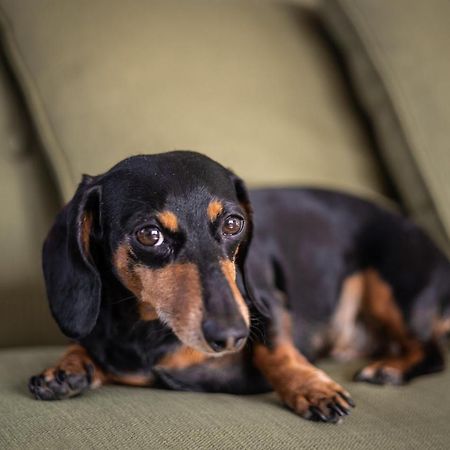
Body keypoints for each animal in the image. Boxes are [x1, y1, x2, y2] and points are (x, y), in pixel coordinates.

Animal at [29, 151, 450, 422]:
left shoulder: (269, 305)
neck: (151, 331)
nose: (231, 335)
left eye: (233, 224)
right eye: (149, 234)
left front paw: (310, 386)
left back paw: (388, 370)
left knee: (432, 351)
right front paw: (68, 367)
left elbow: (274, 349)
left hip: (393, 289)